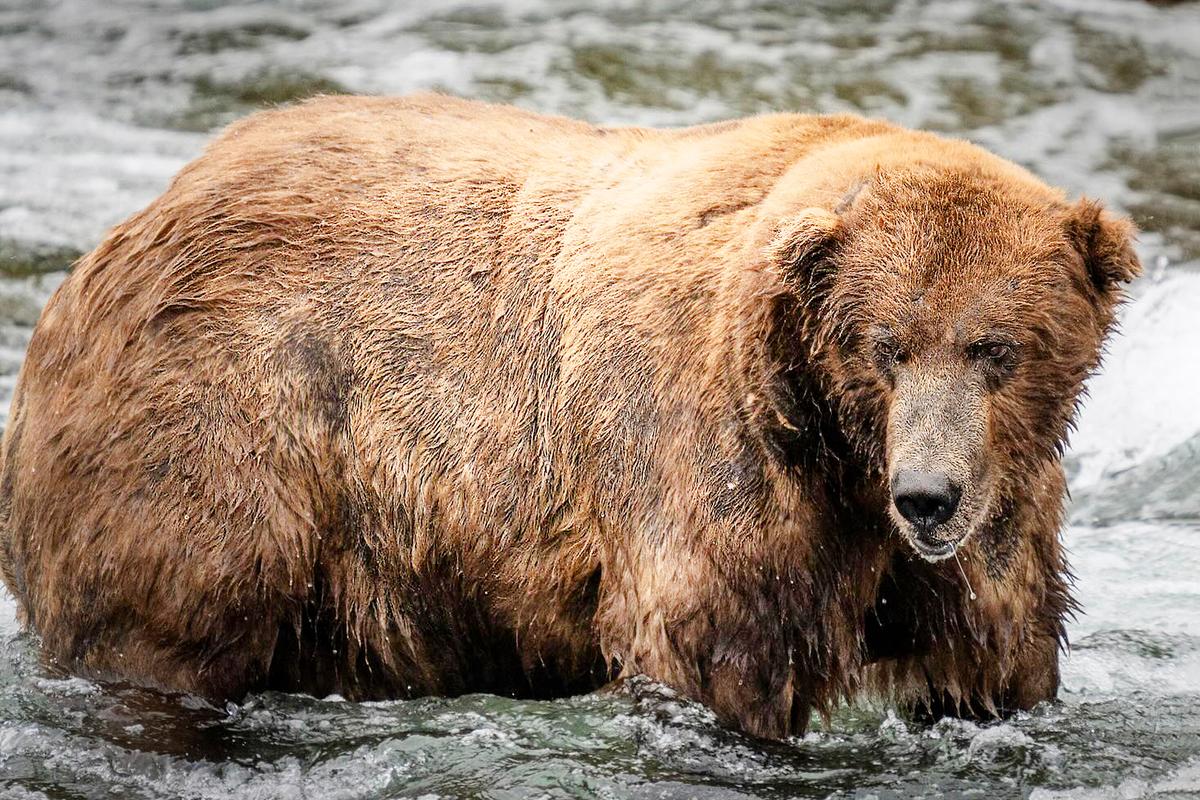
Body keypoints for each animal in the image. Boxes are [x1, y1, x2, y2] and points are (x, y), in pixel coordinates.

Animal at [0, 94, 1139, 739]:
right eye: (886, 344)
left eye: (997, 347)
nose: (928, 496)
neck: (836, 455)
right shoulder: (712, 466)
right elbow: (710, 651)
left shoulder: (993, 522)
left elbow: (997, 657)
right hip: (226, 422)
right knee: (172, 607)